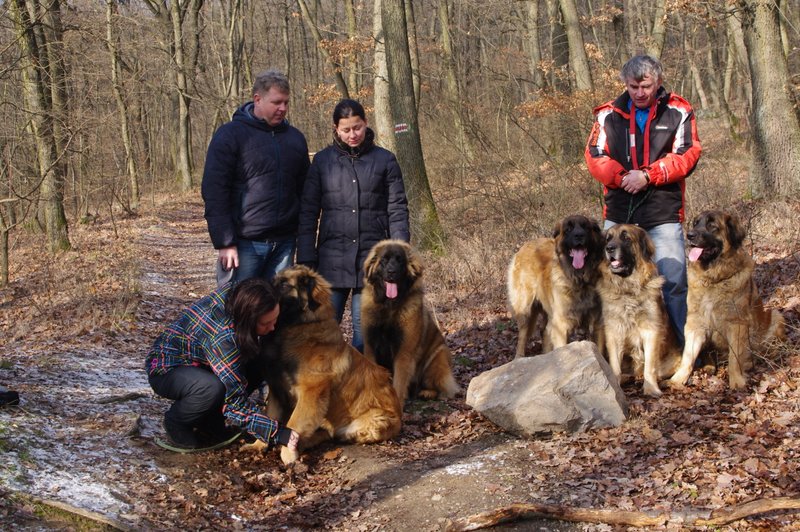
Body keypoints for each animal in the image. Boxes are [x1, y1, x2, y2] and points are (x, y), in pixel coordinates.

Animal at [263, 265, 402, 464]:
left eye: (283, 285)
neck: (300, 326)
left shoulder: (312, 392)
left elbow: (294, 423)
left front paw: (288, 454)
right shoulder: (277, 389)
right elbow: (270, 417)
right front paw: (256, 446)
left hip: (375, 420)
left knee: (334, 433)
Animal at [360, 240, 460, 406]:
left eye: (400, 260)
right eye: (384, 260)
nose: (391, 272)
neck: (389, 306)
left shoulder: (404, 352)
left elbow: (399, 383)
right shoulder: (370, 347)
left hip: (437, 360)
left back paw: (427, 393)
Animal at [507, 214, 605, 358]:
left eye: (586, 227)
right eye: (568, 229)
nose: (579, 235)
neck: (579, 280)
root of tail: (523, 247)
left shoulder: (596, 323)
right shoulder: (561, 325)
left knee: (545, 331)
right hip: (525, 308)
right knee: (523, 335)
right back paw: (519, 357)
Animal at [597, 224, 681, 396]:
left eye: (626, 238)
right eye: (608, 239)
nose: (609, 248)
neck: (628, 288)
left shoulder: (651, 331)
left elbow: (650, 366)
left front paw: (651, 389)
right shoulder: (614, 331)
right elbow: (615, 366)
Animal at [669, 210, 786, 390]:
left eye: (712, 225)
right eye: (696, 223)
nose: (689, 235)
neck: (713, 278)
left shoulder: (737, 323)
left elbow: (734, 359)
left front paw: (736, 381)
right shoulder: (695, 323)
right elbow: (688, 357)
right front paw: (678, 379)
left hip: (776, 316)